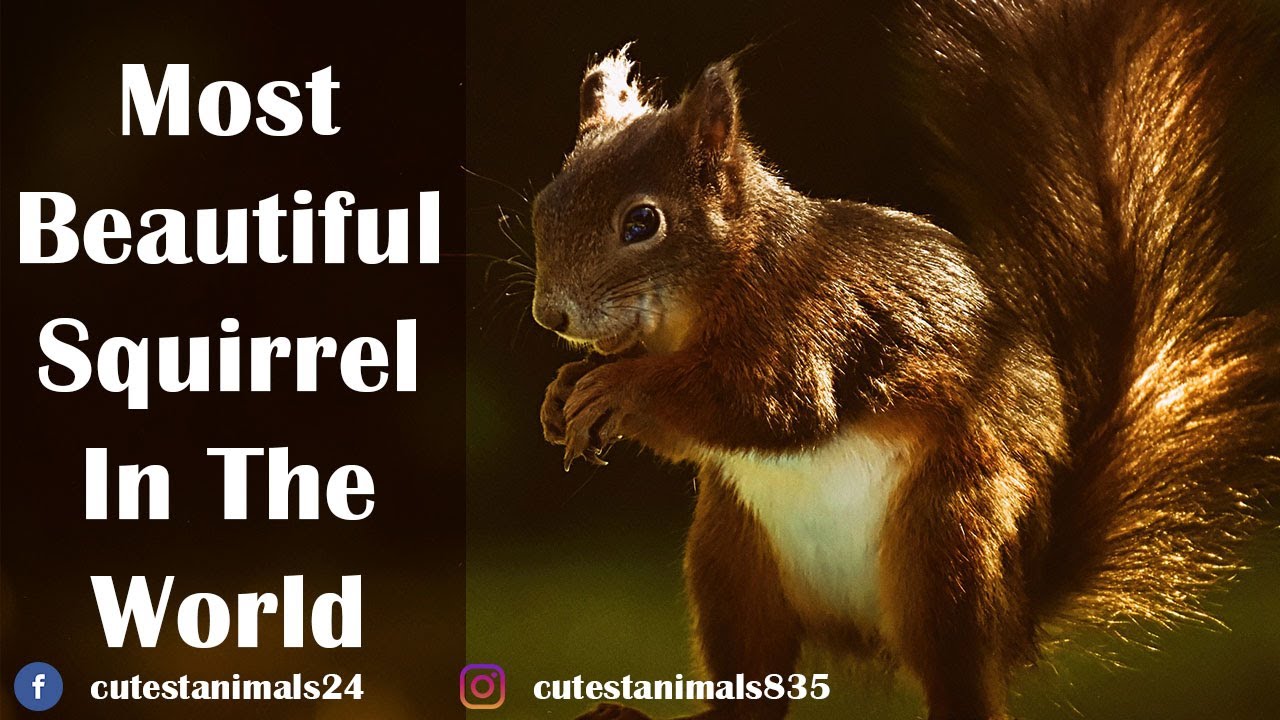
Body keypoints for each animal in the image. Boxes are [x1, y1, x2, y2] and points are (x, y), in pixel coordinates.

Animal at [529, 1, 1279, 719]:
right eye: (542, 205)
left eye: (642, 223)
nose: (550, 316)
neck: (711, 291)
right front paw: (565, 390)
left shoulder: (810, 322)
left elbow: (770, 407)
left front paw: (619, 387)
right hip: (731, 560)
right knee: (753, 694)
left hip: (948, 542)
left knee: (959, 685)